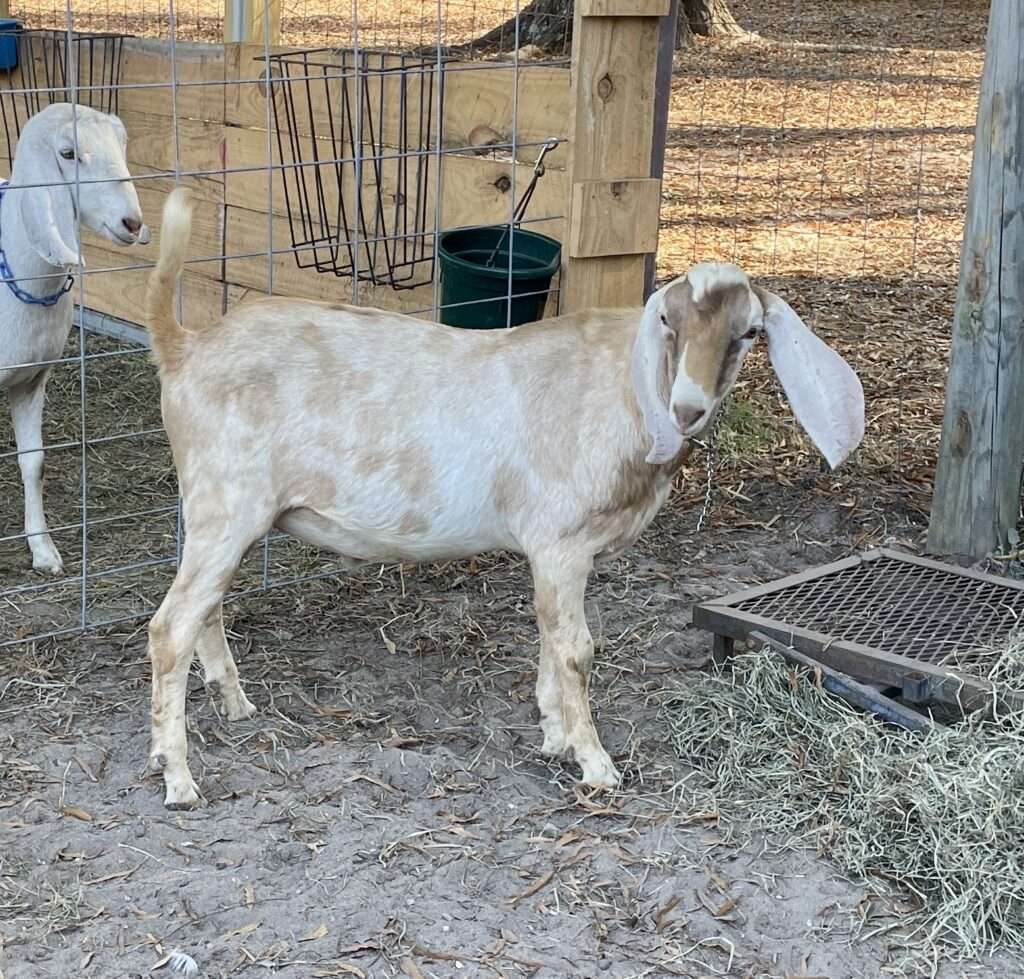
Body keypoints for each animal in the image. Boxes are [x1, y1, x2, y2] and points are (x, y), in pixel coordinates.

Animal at [1, 104, 149, 573]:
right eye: (68, 153)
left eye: (122, 145)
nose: (133, 222)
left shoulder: (32, 378)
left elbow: (34, 463)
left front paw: (43, 549)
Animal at [144, 189, 864, 811]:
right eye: (668, 320)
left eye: (748, 333)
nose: (689, 408)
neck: (620, 391)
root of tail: (184, 347)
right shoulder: (561, 540)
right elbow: (576, 649)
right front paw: (596, 763)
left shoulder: (558, 552)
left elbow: (548, 636)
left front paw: (553, 735)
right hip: (226, 500)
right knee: (169, 626)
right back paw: (178, 777)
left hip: (221, 512)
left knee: (202, 609)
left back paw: (233, 705)